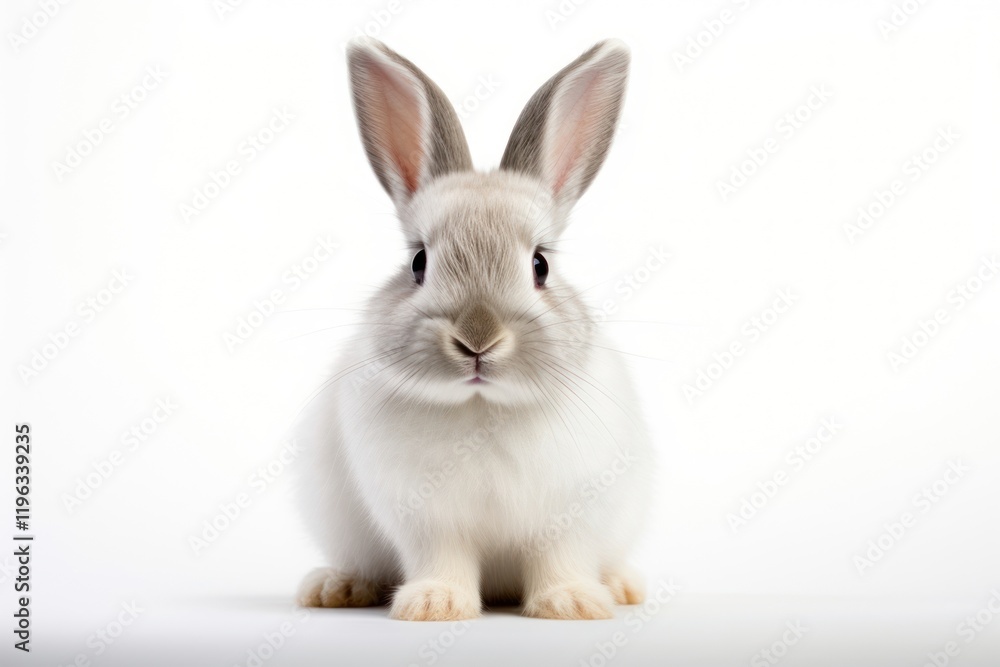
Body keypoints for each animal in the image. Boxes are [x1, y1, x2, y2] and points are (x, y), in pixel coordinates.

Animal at [295, 37, 653, 621]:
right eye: (418, 263)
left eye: (540, 265)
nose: (477, 340)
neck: (482, 408)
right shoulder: (425, 521)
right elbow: (442, 559)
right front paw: (434, 604)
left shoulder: (570, 517)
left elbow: (560, 559)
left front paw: (572, 603)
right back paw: (335, 588)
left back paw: (622, 587)